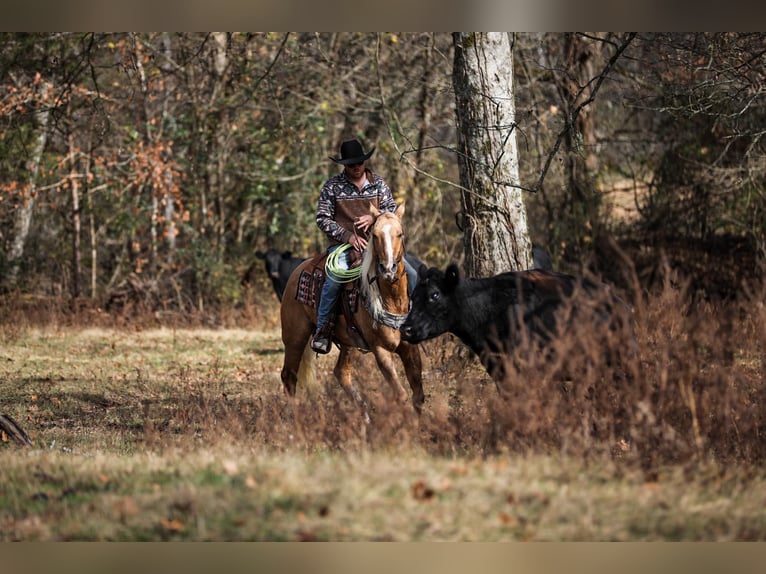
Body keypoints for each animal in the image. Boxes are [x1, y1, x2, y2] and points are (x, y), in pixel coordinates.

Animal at [280, 202, 426, 424]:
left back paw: (365, 417)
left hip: (350, 342)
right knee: (289, 376)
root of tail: (297, 271)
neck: (392, 300)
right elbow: (401, 394)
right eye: (375, 235)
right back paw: (296, 420)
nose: (388, 269)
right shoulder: (380, 350)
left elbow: (417, 391)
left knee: (341, 373)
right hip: (295, 337)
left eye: (400, 234)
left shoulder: (409, 346)